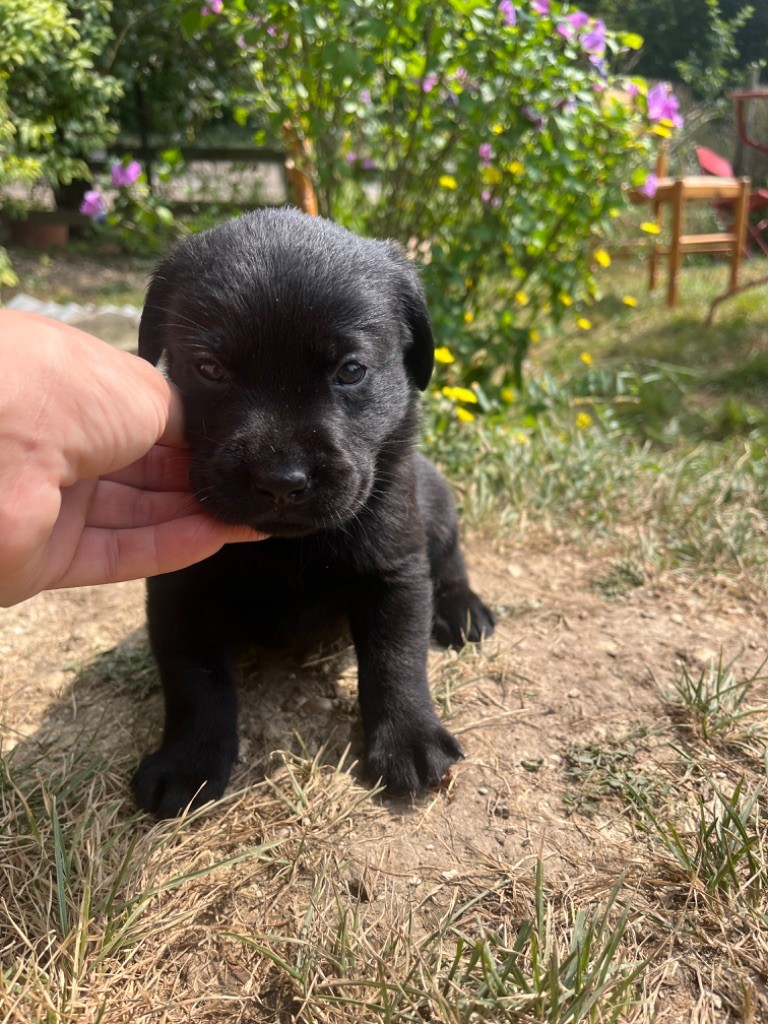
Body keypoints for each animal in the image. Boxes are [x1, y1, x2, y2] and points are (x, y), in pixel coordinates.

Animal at [133, 207, 495, 815]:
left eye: (350, 370)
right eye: (209, 369)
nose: (281, 482)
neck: (288, 547)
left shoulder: (395, 570)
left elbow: (396, 659)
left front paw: (409, 739)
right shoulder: (175, 591)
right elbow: (193, 680)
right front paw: (187, 761)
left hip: (437, 502)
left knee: (450, 561)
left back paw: (464, 608)